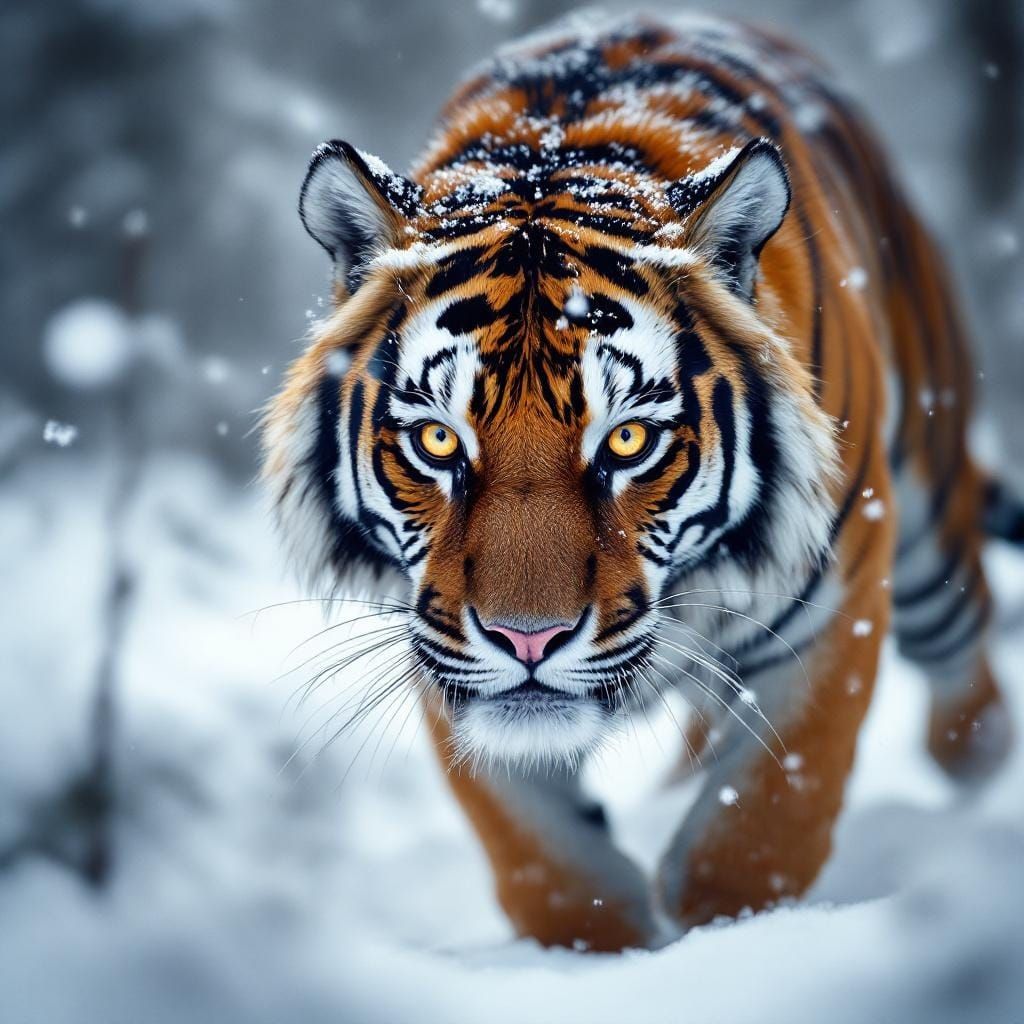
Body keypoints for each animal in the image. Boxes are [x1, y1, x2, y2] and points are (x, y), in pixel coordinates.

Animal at [262, 13, 1015, 952]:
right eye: (438, 439)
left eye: (626, 440)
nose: (528, 642)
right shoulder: (438, 644)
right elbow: (546, 864)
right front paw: (600, 953)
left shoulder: (835, 600)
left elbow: (763, 824)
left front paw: (729, 940)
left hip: (928, 522)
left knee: (965, 676)